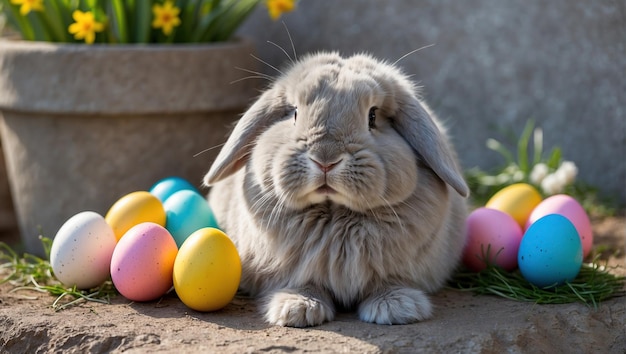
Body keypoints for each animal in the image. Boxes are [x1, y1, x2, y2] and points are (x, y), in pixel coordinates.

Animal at [205, 51, 468, 328]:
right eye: (295, 112)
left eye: (372, 116)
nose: (325, 159)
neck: (335, 214)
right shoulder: (294, 270)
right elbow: (302, 283)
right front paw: (298, 309)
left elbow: (389, 282)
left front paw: (397, 308)